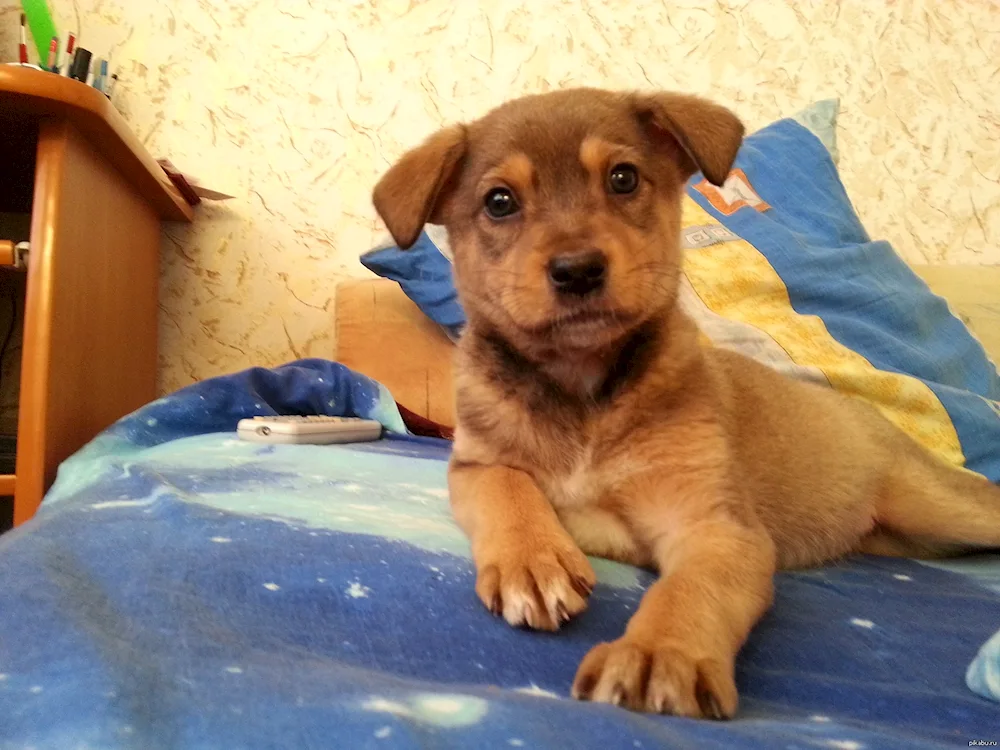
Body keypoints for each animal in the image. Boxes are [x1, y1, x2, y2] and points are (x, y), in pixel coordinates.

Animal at [370, 89, 1000, 724]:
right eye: (499, 202)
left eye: (623, 178)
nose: (578, 270)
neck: (581, 388)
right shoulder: (475, 465)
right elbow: (508, 489)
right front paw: (534, 560)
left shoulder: (714, 525)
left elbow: (689, 591)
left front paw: (658, 654)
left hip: (936, 501)